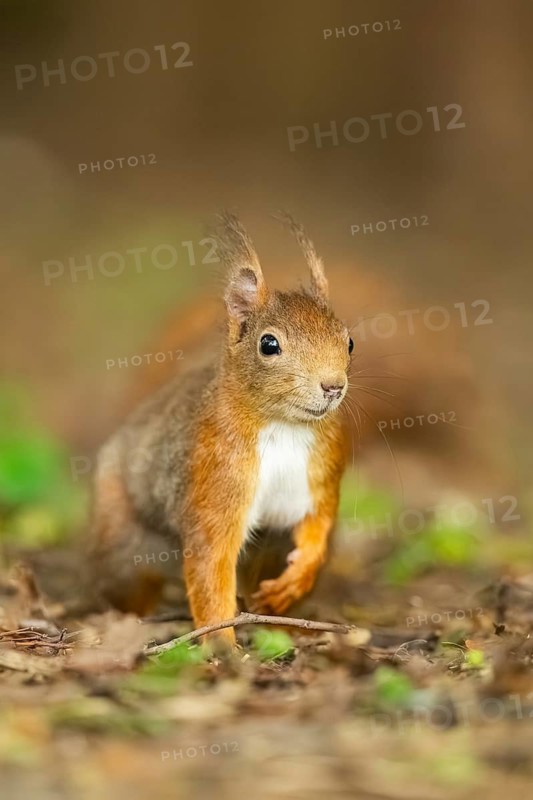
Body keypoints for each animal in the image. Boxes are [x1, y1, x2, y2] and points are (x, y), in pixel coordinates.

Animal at [88, 213, 351, 645]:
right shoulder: (213, 481)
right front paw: (222, 645)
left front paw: (296, 578)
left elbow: (319, 523)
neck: (282, 426)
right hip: (122, 535)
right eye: (269, 344)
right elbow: (212, 565)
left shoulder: (320, 472)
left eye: (349, 341)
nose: (333, 386)